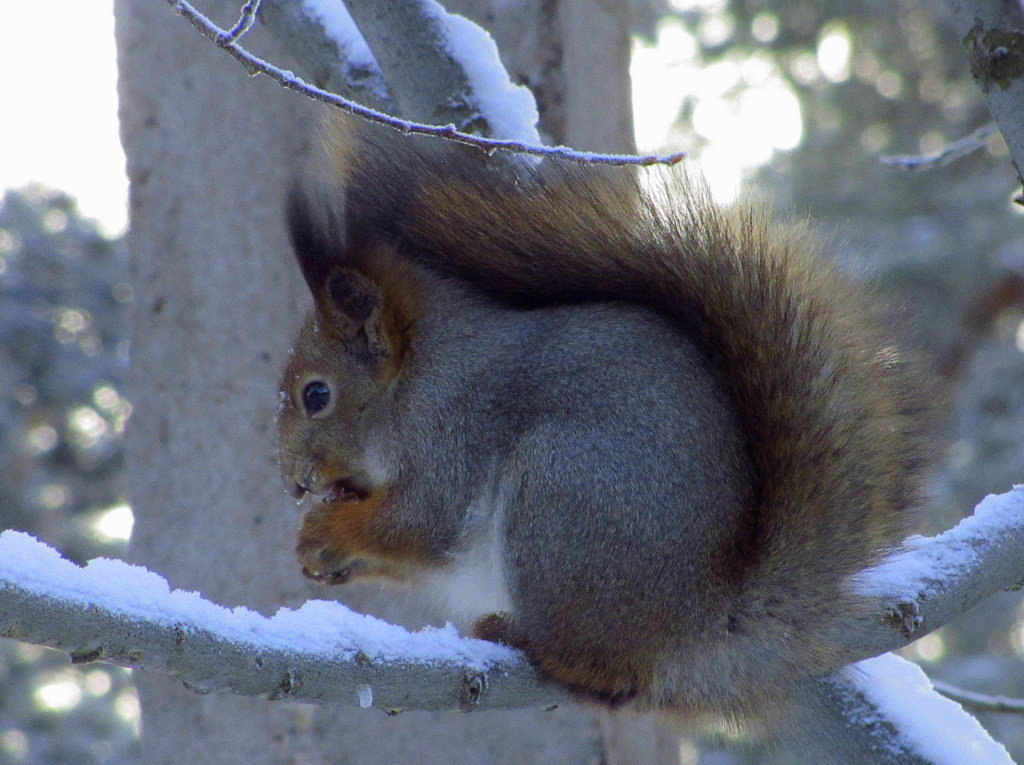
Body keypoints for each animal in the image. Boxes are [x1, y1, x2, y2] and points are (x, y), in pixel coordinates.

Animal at [276, 116, 933, 720]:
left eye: (316, 394)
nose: (294, 484)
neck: (414, 378)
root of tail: (697, 627)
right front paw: (322, 544)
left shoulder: (451, 429)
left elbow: (419, 522)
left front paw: (327, 531)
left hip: (561, 499)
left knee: (602, 664)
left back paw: (523, 638)